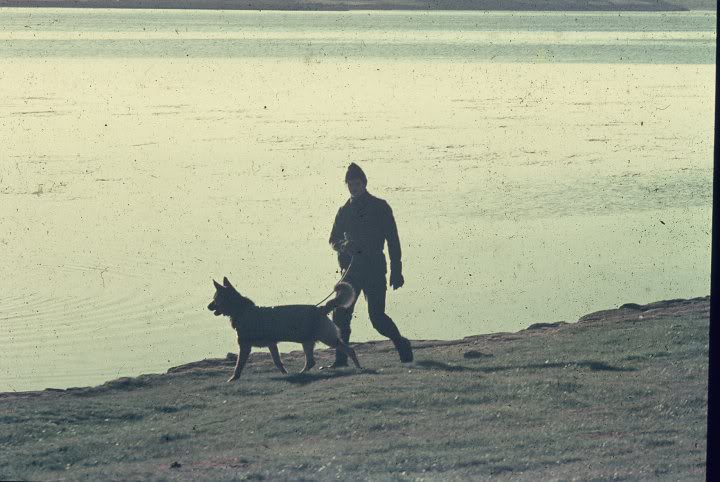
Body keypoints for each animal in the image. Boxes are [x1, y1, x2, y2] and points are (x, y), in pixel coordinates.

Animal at [210, 276, 366, 382]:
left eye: (215, 298)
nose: (208, 306)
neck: (241, 310)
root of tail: (320, 309)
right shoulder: (272, 344)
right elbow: (277, 362)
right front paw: (285, 374)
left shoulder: (245, 346)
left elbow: (239, 365)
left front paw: (233, 378)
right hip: (307, 342)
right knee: (311, 362)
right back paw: (301, 374)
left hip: (328, 339)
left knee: (349, 350)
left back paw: (359, 367)